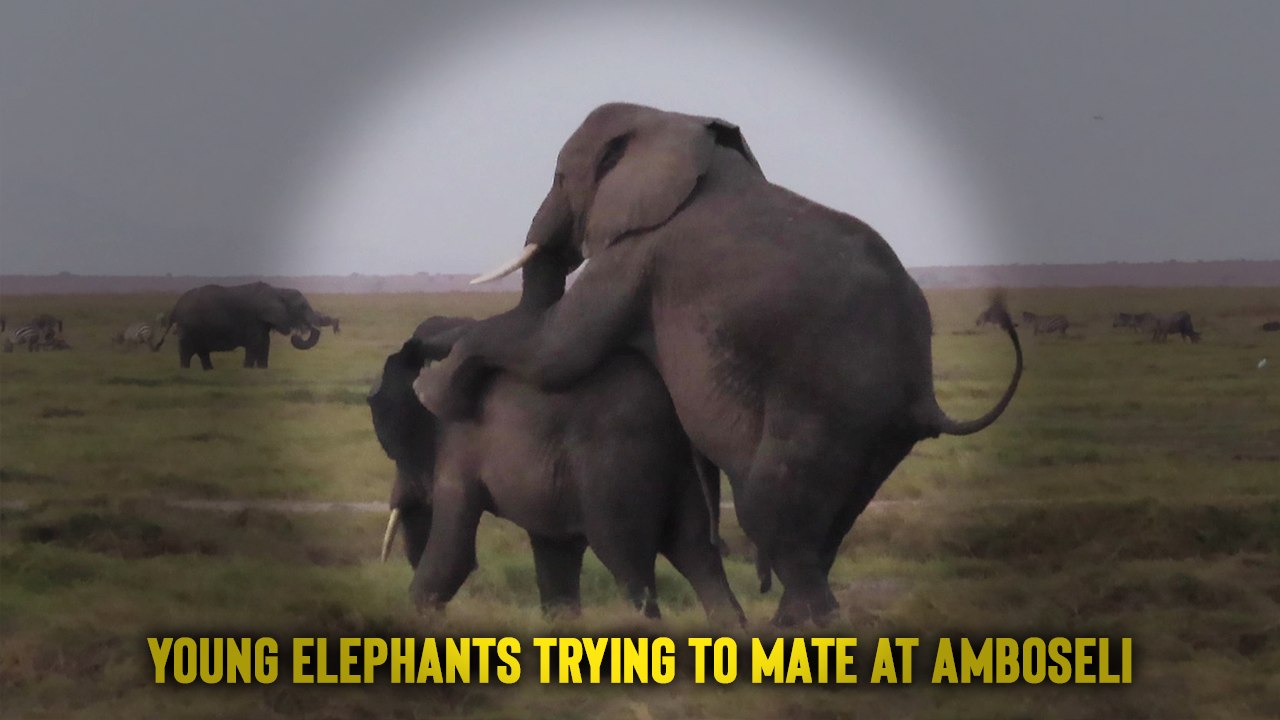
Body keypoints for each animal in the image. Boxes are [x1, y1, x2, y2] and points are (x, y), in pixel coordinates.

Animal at [153, 282, 339, 369]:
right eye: (302, 307)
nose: (297, 334)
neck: (278, 290)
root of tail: (176, 307)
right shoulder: (254, 319)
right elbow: (255, 345)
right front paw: (248, 369)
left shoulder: (262, 322)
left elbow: (265, 344)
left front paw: (262, 370)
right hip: (188, 327)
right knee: (186, 352)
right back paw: (186, 370)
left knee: (203, 353)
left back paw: (209, 371)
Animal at [369, 250, 743, 623]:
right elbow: (557, 563)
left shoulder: (459, 446)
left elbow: (453, 554)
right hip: (680, 468)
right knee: (697, 554)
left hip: (617, 469)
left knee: (628, 563)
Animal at [416, 102, 1023, 625]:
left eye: (562, 176)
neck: (672, 121)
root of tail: (924, 395)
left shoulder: (640, 252)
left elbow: (558, 350)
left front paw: (429, 388)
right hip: (879, 436)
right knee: (829, 523)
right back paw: (789, 624)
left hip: (832, 407)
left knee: (768, 509)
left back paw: (804, 629)